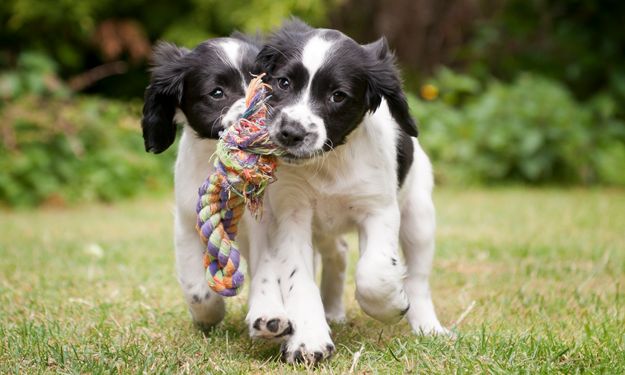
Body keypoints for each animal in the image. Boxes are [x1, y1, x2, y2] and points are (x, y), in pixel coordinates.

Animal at [243, 19, 444, 364]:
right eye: (283, 82)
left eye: (338, 96)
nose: (291, 133)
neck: (328, 163)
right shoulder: (291, 215)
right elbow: (299, 279)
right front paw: (309, 339)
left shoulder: (379, 210)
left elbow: (374, 273)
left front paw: (390, 306)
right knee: (337, 252)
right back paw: (333, 310)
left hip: (419, 216)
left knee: (418, 278)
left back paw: (428, 327)